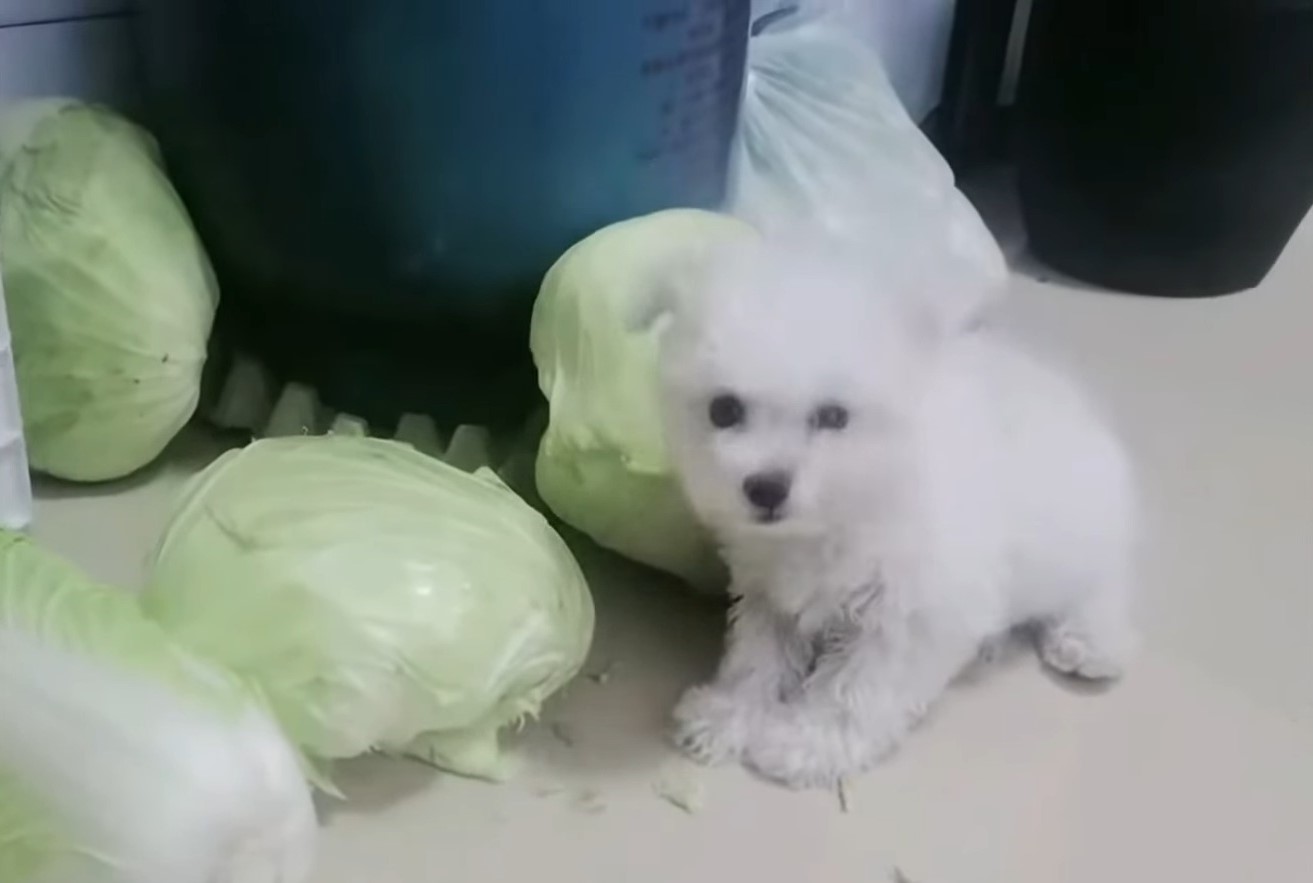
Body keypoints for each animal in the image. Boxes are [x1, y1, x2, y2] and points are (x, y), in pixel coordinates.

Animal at [651, 232, 1134, 787]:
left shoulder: (909, 615)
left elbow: (855, 689)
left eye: (833, 416)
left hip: (1087, 538)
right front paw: (728, 714)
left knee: (1104, 586)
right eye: (724, 410)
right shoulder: (767, 594)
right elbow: (757, 658)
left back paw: (1090, 641)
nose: (766, 488)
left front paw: (807, 743)